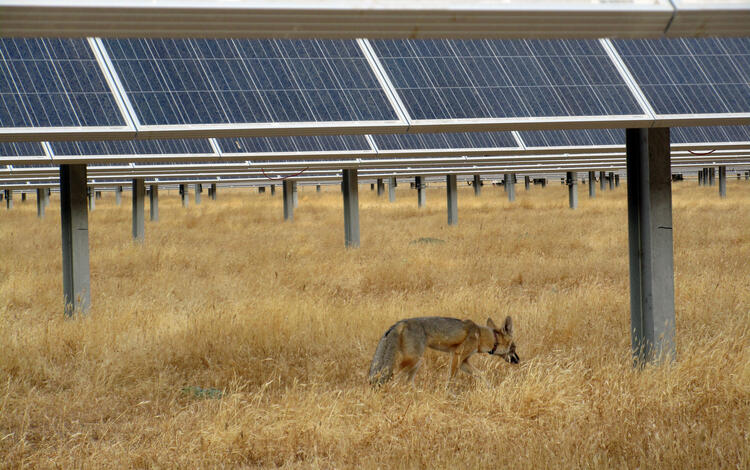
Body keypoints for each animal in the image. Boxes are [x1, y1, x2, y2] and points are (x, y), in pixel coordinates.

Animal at [368, 316, 519, 387]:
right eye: (514, 347)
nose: (518, 360)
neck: (480, 335)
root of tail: (400, 322)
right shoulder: (457, 356)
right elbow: (451, 379)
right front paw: (449, 394)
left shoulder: (464, 361)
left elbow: (481, 375)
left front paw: (490, 389)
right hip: (414, 361)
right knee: (393, 378)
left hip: (415, 363)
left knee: (406, 382)